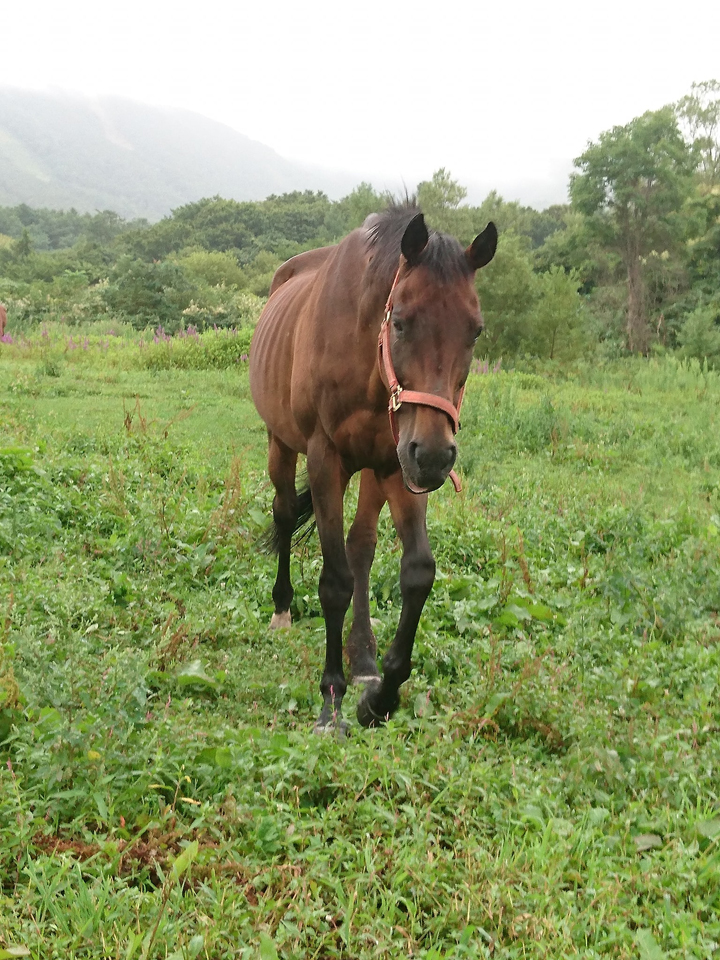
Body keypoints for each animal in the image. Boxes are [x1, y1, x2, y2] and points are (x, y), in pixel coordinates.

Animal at [249, 201, 496, 728]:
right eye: (399, 321)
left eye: (475, 330)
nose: (437, 456)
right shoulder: (326, 459)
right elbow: (334, 581)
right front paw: (331, 698)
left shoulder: (395, 464)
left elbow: (415, 571)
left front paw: (379, 695)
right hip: (281, 444)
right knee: (284, 513)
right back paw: (282, 609)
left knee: (360, 545)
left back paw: (361, 656)